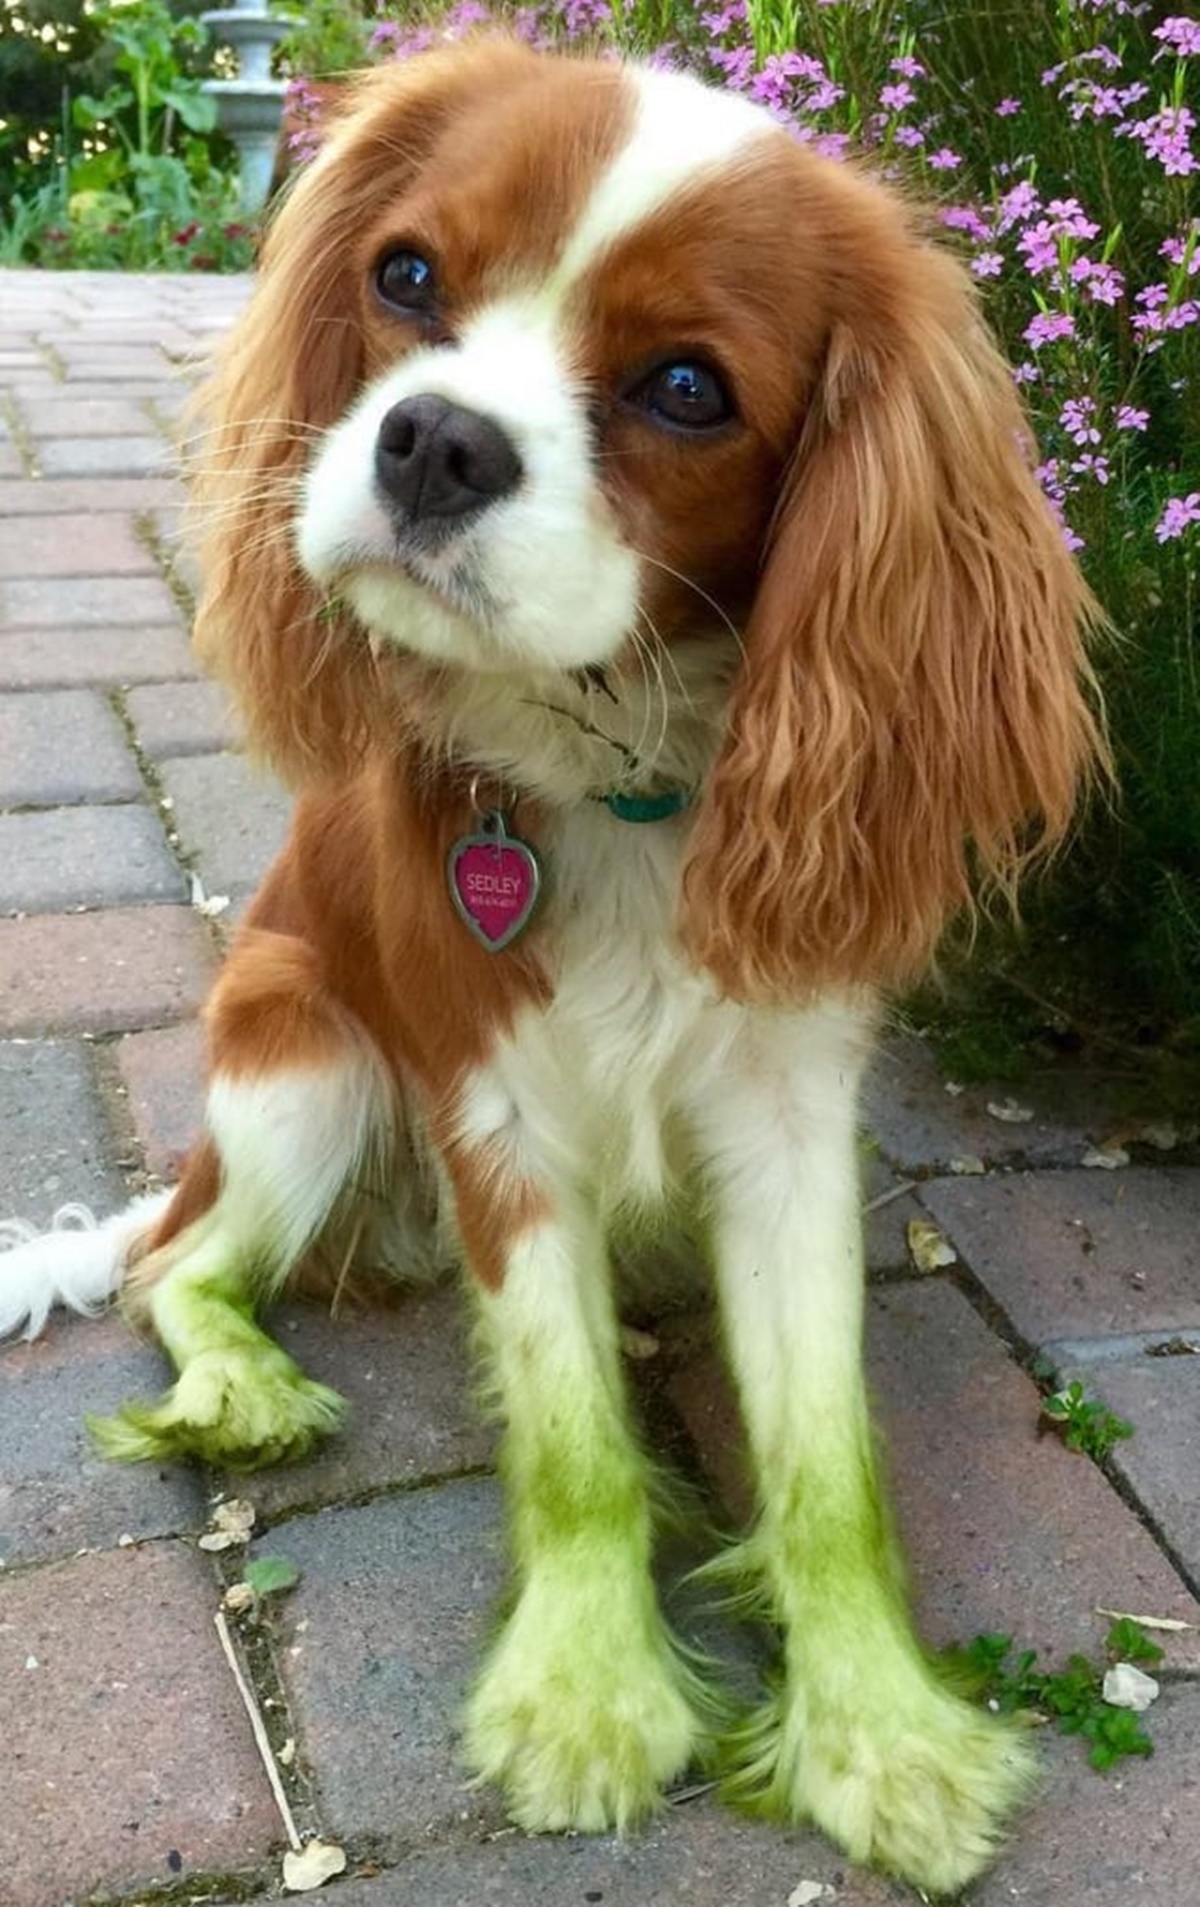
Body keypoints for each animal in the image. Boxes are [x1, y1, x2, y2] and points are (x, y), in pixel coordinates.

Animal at [2, 41, 1106, 1891]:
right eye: (404, 278)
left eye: (686, 387)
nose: (435, 436)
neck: (617, 777)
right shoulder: (492, 1114)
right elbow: (576, 1429)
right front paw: (586, 1696)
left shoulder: (791, 1129)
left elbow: (825, 1460)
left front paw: (879, 1730)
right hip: (299, 1053)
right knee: (175, 1268)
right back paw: (242, 1383)